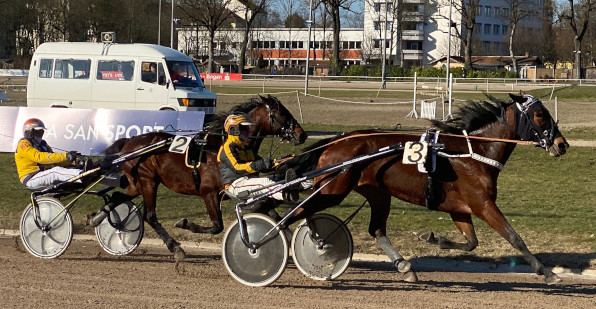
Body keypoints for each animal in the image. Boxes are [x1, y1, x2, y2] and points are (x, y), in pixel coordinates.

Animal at [102, 95, 304, 258]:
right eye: (282, 113)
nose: (302, 134)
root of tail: (129, 141)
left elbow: (269, 209)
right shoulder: (209, 193)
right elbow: (217, 226)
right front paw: (185, 224)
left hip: (138, 183)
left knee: (116, 196)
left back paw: (102, 218)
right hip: (148, 181)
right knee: (150, 215)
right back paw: (175, 247)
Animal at [284, 92, 568, 284]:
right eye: (540, 114)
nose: (562, 144)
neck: (473, 153)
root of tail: (337, 141)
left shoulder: (460, 208)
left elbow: (472, 243)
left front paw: (434, 239)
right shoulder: (483, 204)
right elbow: (515, 238)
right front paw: (547, 273)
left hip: (376, 193)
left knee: (376, 229)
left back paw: (405, 268)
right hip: (331, 191)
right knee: (296, 214)